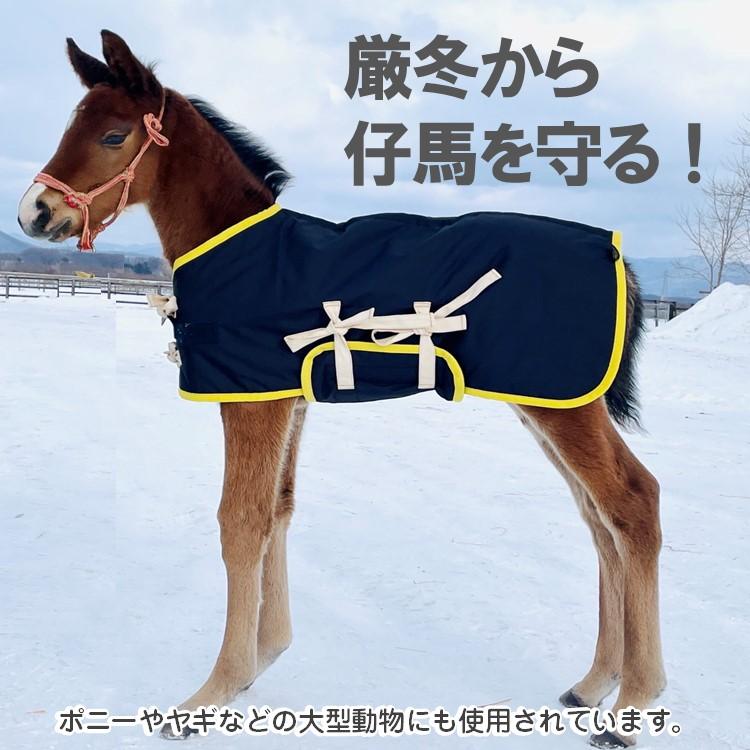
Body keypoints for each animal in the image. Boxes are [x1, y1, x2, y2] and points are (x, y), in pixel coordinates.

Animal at [17, 31, 665, 747]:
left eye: (113, 135)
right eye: (70, 126)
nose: (34, 212)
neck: (248, 256)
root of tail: (614, 254)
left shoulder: (253, 401)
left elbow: (239, 523)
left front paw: (212, 693)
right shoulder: (289, 404)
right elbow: (278, 512)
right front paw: (262, 658)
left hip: (564, 405)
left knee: (633, 502)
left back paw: (632, 706)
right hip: (551, 403)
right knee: (598, 518)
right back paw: (594, 683)